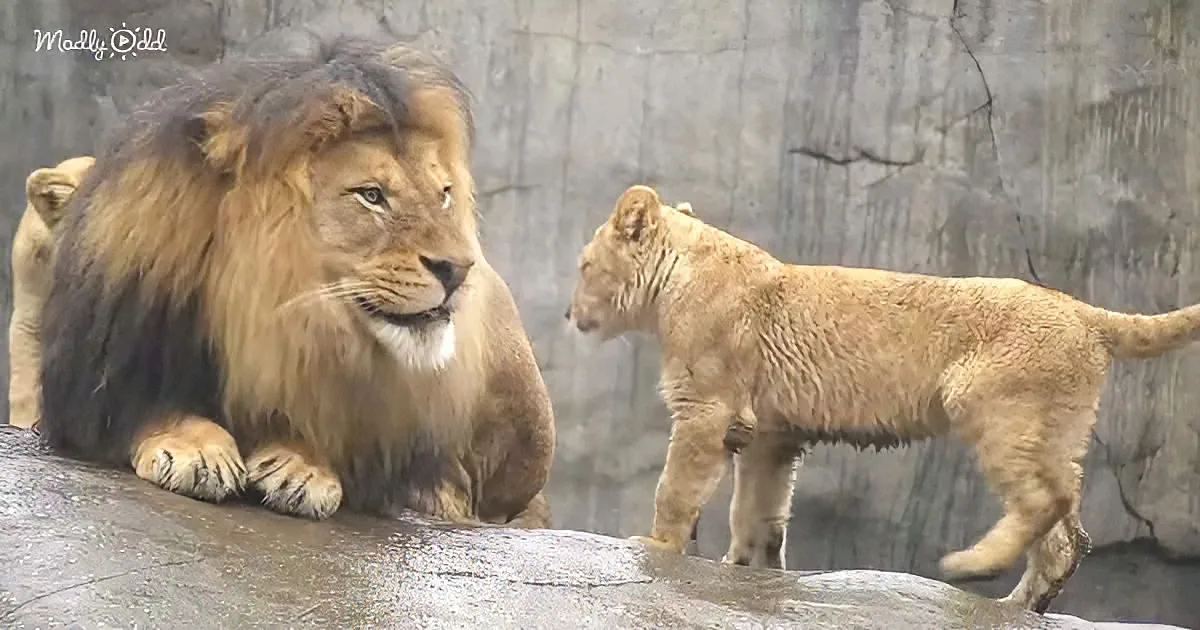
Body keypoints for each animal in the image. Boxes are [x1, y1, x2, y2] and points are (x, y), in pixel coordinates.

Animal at [37, 35, 555, 529]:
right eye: (371, 195)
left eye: (443, 194)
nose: (459, 268)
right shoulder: (104, 370)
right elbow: (145, 405)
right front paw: (194, 448)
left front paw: (303, 467)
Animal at [565, 184, 1200, 612]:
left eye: (583, 264)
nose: (570, 314)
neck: (681, 272)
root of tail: (1085, 313)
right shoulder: (772, 432)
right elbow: (758, 509)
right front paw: (748, 568)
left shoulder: (707, 402)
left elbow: (677, 485)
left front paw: (654, 545)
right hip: (1061, 425)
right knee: (1068, 526)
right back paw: (1017, 604)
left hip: (994, 404)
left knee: (1042, 501)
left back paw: (971, 566)